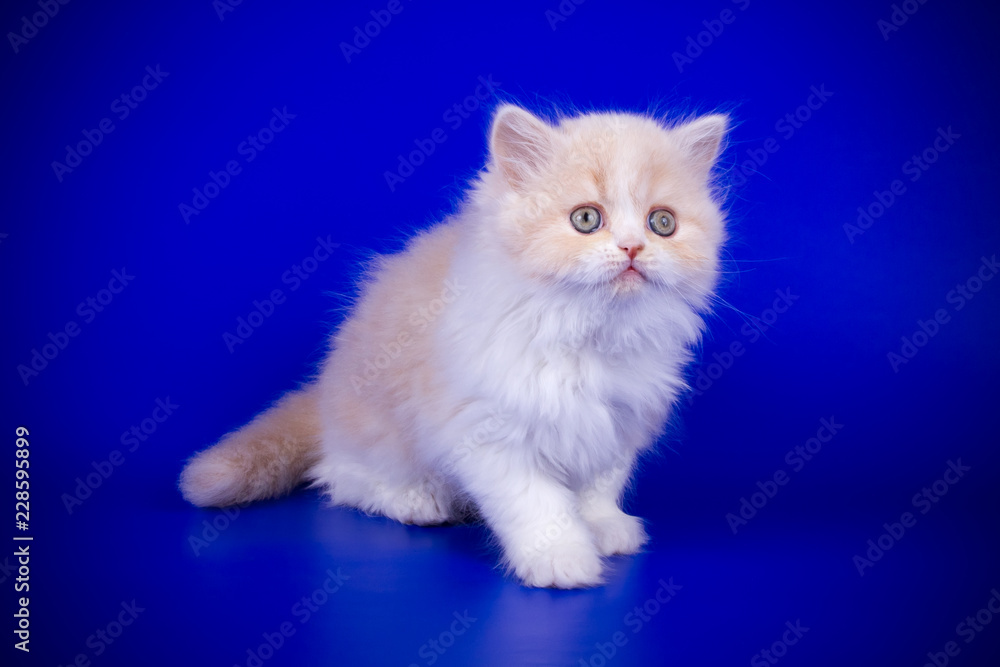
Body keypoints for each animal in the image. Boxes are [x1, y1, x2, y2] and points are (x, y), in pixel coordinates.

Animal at [182, 102, 728, 588]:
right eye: (586, 220)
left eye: (662, 223)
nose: (633, 248)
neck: (585, 332)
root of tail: (324, 394)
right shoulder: (488, 428)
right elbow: (537, 503)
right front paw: (561, 559)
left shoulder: (620, 422)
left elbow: (599, 485)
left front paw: (604, 527)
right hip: (376, 434)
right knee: (340, 476)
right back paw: (418, 500)